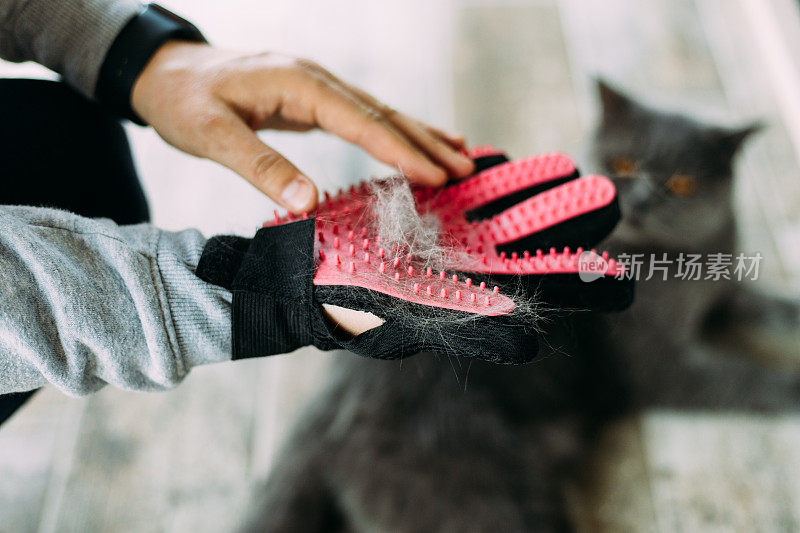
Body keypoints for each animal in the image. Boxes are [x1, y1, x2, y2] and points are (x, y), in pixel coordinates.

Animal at [238, 81, 800, 528]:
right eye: (621, 163)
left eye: (682, 182)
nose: (640, 201)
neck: (689, 264)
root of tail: (323, 413)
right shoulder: (660, 366)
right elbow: (743, 382)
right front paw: (791, 388)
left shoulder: (725, 295)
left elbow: (767, 308)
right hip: (486, 492)